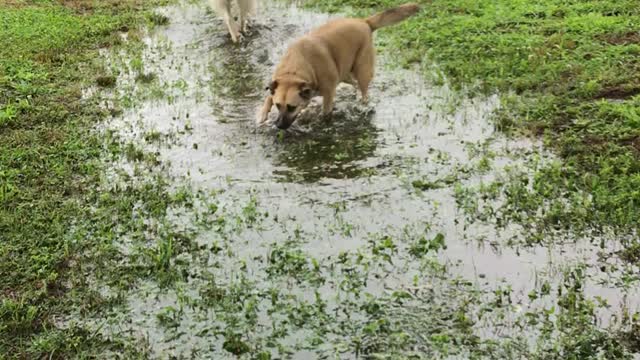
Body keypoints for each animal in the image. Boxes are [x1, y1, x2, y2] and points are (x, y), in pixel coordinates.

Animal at [255, 2, 420, 129]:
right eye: (278, 106)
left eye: (291, 107)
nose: (278, 126)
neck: (295, 71)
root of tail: (364, 22)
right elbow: (269, 97)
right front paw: (262, 114)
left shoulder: (328, 94)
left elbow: (326, 112)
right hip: (344, 72)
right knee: (354, 84)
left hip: (362, 70)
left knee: (364, 92)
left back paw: (363, 105)